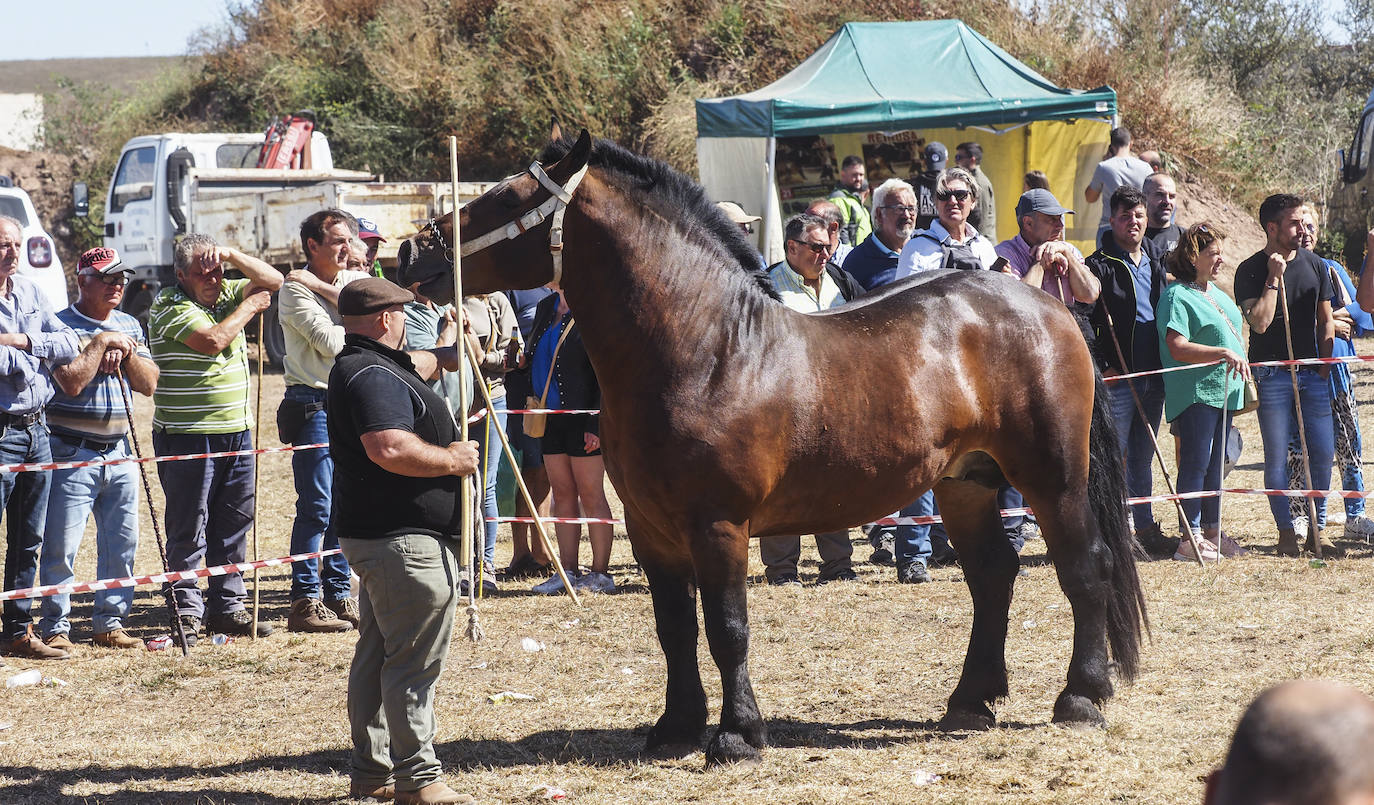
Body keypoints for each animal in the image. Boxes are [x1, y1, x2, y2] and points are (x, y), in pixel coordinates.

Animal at [401, 128, 1148, 763]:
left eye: (510, 197)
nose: (414, 253)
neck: (704, 347)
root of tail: (1050, 307)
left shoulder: (719, 526)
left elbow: (726, 627)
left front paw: (736, 734)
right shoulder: (651, 529)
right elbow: (674, 627)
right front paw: (675, 727)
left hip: (1053, 477)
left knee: (1086, 567)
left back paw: (1081, 696)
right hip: (967, 482)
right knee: (993, 575)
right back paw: (970, 700)